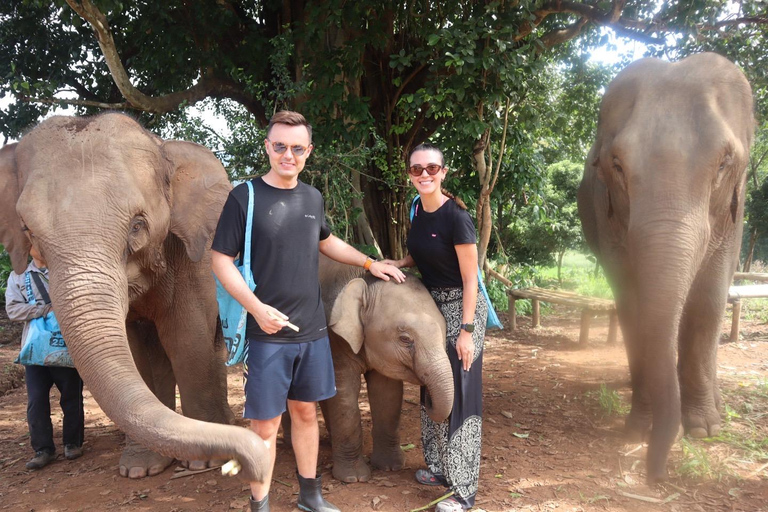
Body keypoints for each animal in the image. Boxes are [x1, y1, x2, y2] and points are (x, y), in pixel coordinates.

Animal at [0, 113, 270, 484]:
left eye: (137, 225)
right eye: (28, 230)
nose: (255, 462)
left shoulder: (195, 254)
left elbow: (187, 336)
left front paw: (202, 463)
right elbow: (138, 348)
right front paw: (140, 468)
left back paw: (224, 424)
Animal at [316, 256, 452, 484]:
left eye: (444, 331)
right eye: (405, 339)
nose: (427, 398)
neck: (363, 281)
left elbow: (387, 393)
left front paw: (390, 468)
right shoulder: (335, 339)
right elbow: (344, 393)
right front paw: (354, 478)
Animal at [580, 54, 752, 482]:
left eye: (724, 163)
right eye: (617, 164)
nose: (654, 475)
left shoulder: (734, 213)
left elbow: (709, 300)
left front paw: (704, 430)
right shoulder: (606, 213)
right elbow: (631, 303)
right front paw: (639, 428)